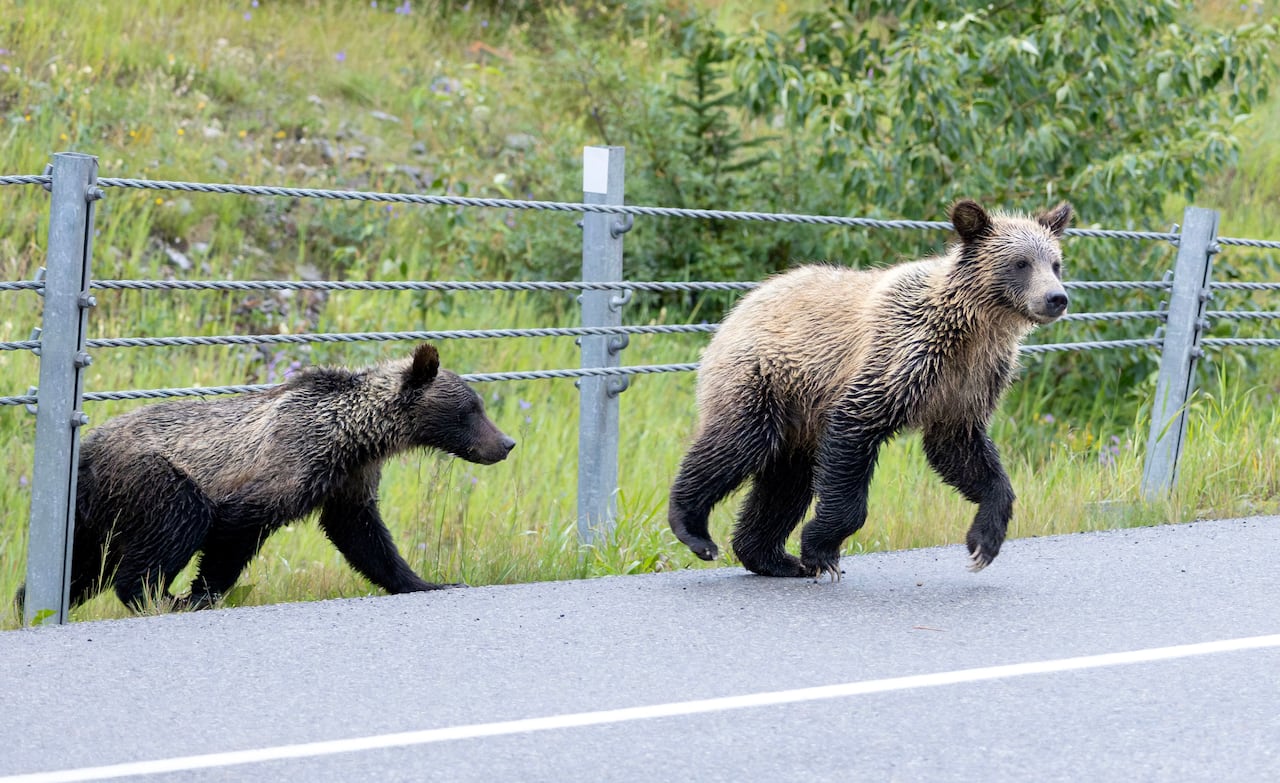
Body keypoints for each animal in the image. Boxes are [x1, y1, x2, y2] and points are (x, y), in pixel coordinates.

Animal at [20, 343, 515, 613]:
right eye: (470, 410)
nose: (507, 443)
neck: (355, 437)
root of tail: (85, 448)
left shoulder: (348, 481)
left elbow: (364, 537)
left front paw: (428, 580)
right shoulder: (285, 466)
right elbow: (233, 532)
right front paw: (198, 595)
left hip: (98, 510)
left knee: (84, 562)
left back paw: (29, 601)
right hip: (149, 479)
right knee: (175, 525)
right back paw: (153, 596)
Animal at [667, 198, 1072, 579]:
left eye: (1055, 263)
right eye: (1020, 263)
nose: (1056, 298)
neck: (974, 327)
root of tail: (740, 306)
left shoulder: (967, 384)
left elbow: (964, 454)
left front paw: (982, 544)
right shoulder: (899, 360)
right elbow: (854, 434)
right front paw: (821, 550)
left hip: (800, 416)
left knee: (787, 481)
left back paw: (772, 558)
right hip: (765, 378)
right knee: (739, 444)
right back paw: (694, 530)